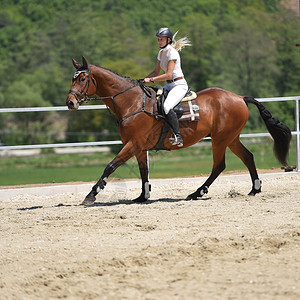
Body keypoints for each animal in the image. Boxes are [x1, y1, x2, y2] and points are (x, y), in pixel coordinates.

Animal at [65, 56, 290, 206]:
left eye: (82, 79)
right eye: (72, 78)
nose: (70, 102)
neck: (132, 102)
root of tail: (239, 97)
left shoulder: (133, 144)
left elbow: (110, 166)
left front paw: (91, 195)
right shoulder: (139, 148)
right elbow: (143, 171)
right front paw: (143, 197)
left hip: (220, 139)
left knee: (219, 165)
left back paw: (197, 193)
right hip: (230, 138)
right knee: (248, 157)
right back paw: (254, 189)